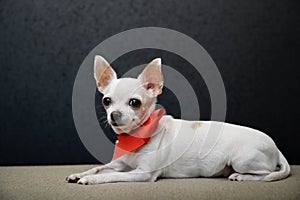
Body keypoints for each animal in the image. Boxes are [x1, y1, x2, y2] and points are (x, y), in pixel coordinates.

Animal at [67, 55, 290, 185]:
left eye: (134, 102)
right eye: (107, 101)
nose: (114, 115)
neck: (137, 136)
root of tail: (276, 147)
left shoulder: (142, 173)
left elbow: (111, 175)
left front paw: (91, 179)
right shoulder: (120, 164)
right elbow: (100, 167)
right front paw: (81, 174)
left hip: (242, 159)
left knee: (265, 174)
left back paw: (242, 176)